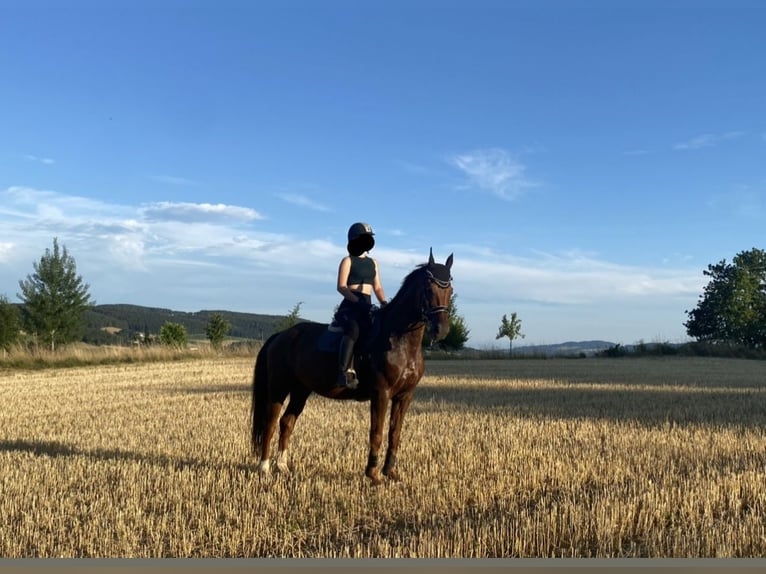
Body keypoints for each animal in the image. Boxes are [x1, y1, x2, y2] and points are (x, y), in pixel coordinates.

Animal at [252, 250, 456, 488]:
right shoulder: (381, 393)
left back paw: (282, 466)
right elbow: (376, 433)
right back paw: (264, 467)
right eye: (428, 288)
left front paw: (391, 472)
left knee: (287, 422)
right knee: (271, 422)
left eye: (450, 290)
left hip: (301, 389)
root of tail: (281, 336)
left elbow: (395, 434)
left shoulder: (404, 396)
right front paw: (373, 475)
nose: (441, 330)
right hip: (279, 386)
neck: (400, 341)